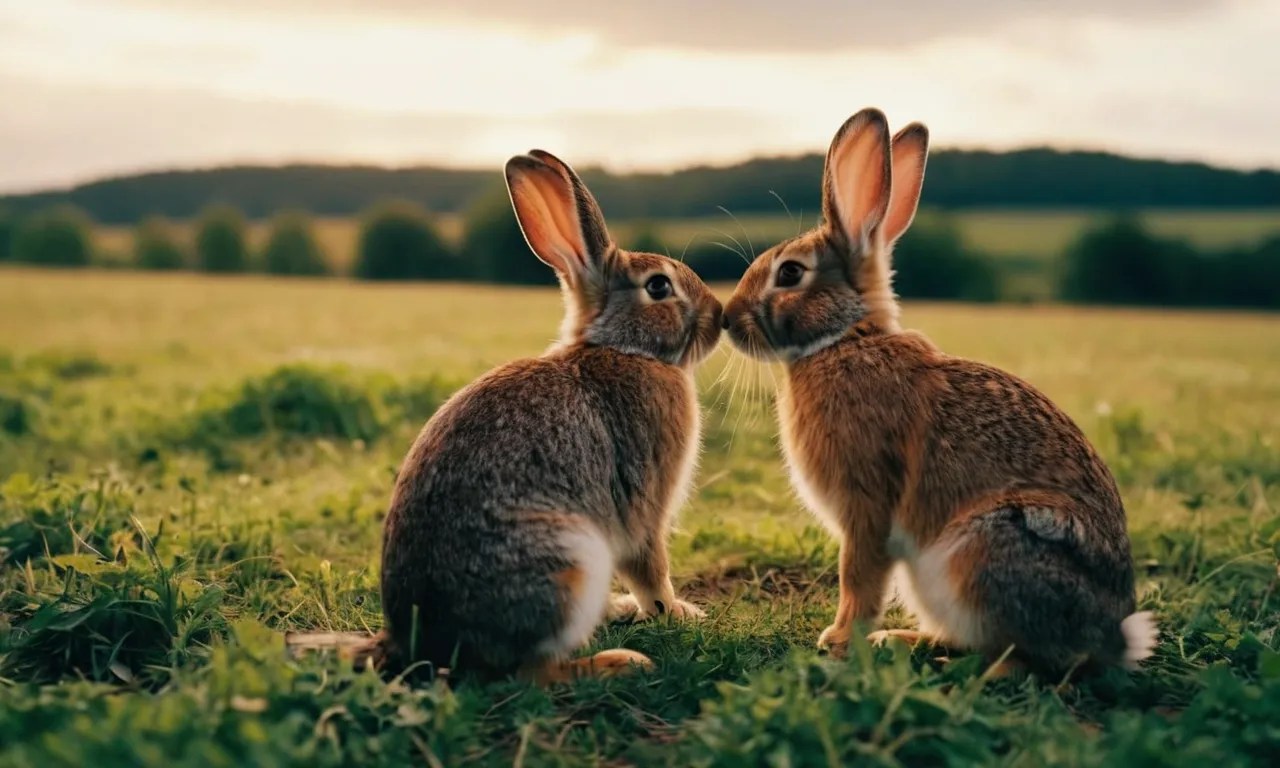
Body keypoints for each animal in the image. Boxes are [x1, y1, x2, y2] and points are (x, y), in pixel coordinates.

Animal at [374, 149, 722, 684]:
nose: (720, 315)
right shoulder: (643, 501)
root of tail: (436, 645)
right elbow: (650, 566)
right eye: (659, 286)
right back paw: (619, 663)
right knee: (532, 675)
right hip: (570, 562)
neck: (622, 347)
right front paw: (679, 613)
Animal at [721, 108, 1156, 675]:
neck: (845, 339)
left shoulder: (868, 508)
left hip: (981, 552)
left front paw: (837, 640)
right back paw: (902, 641)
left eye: (790, 273)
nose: (727, 319)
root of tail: (1113, 635)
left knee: (1025, 660)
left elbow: (858, 576)